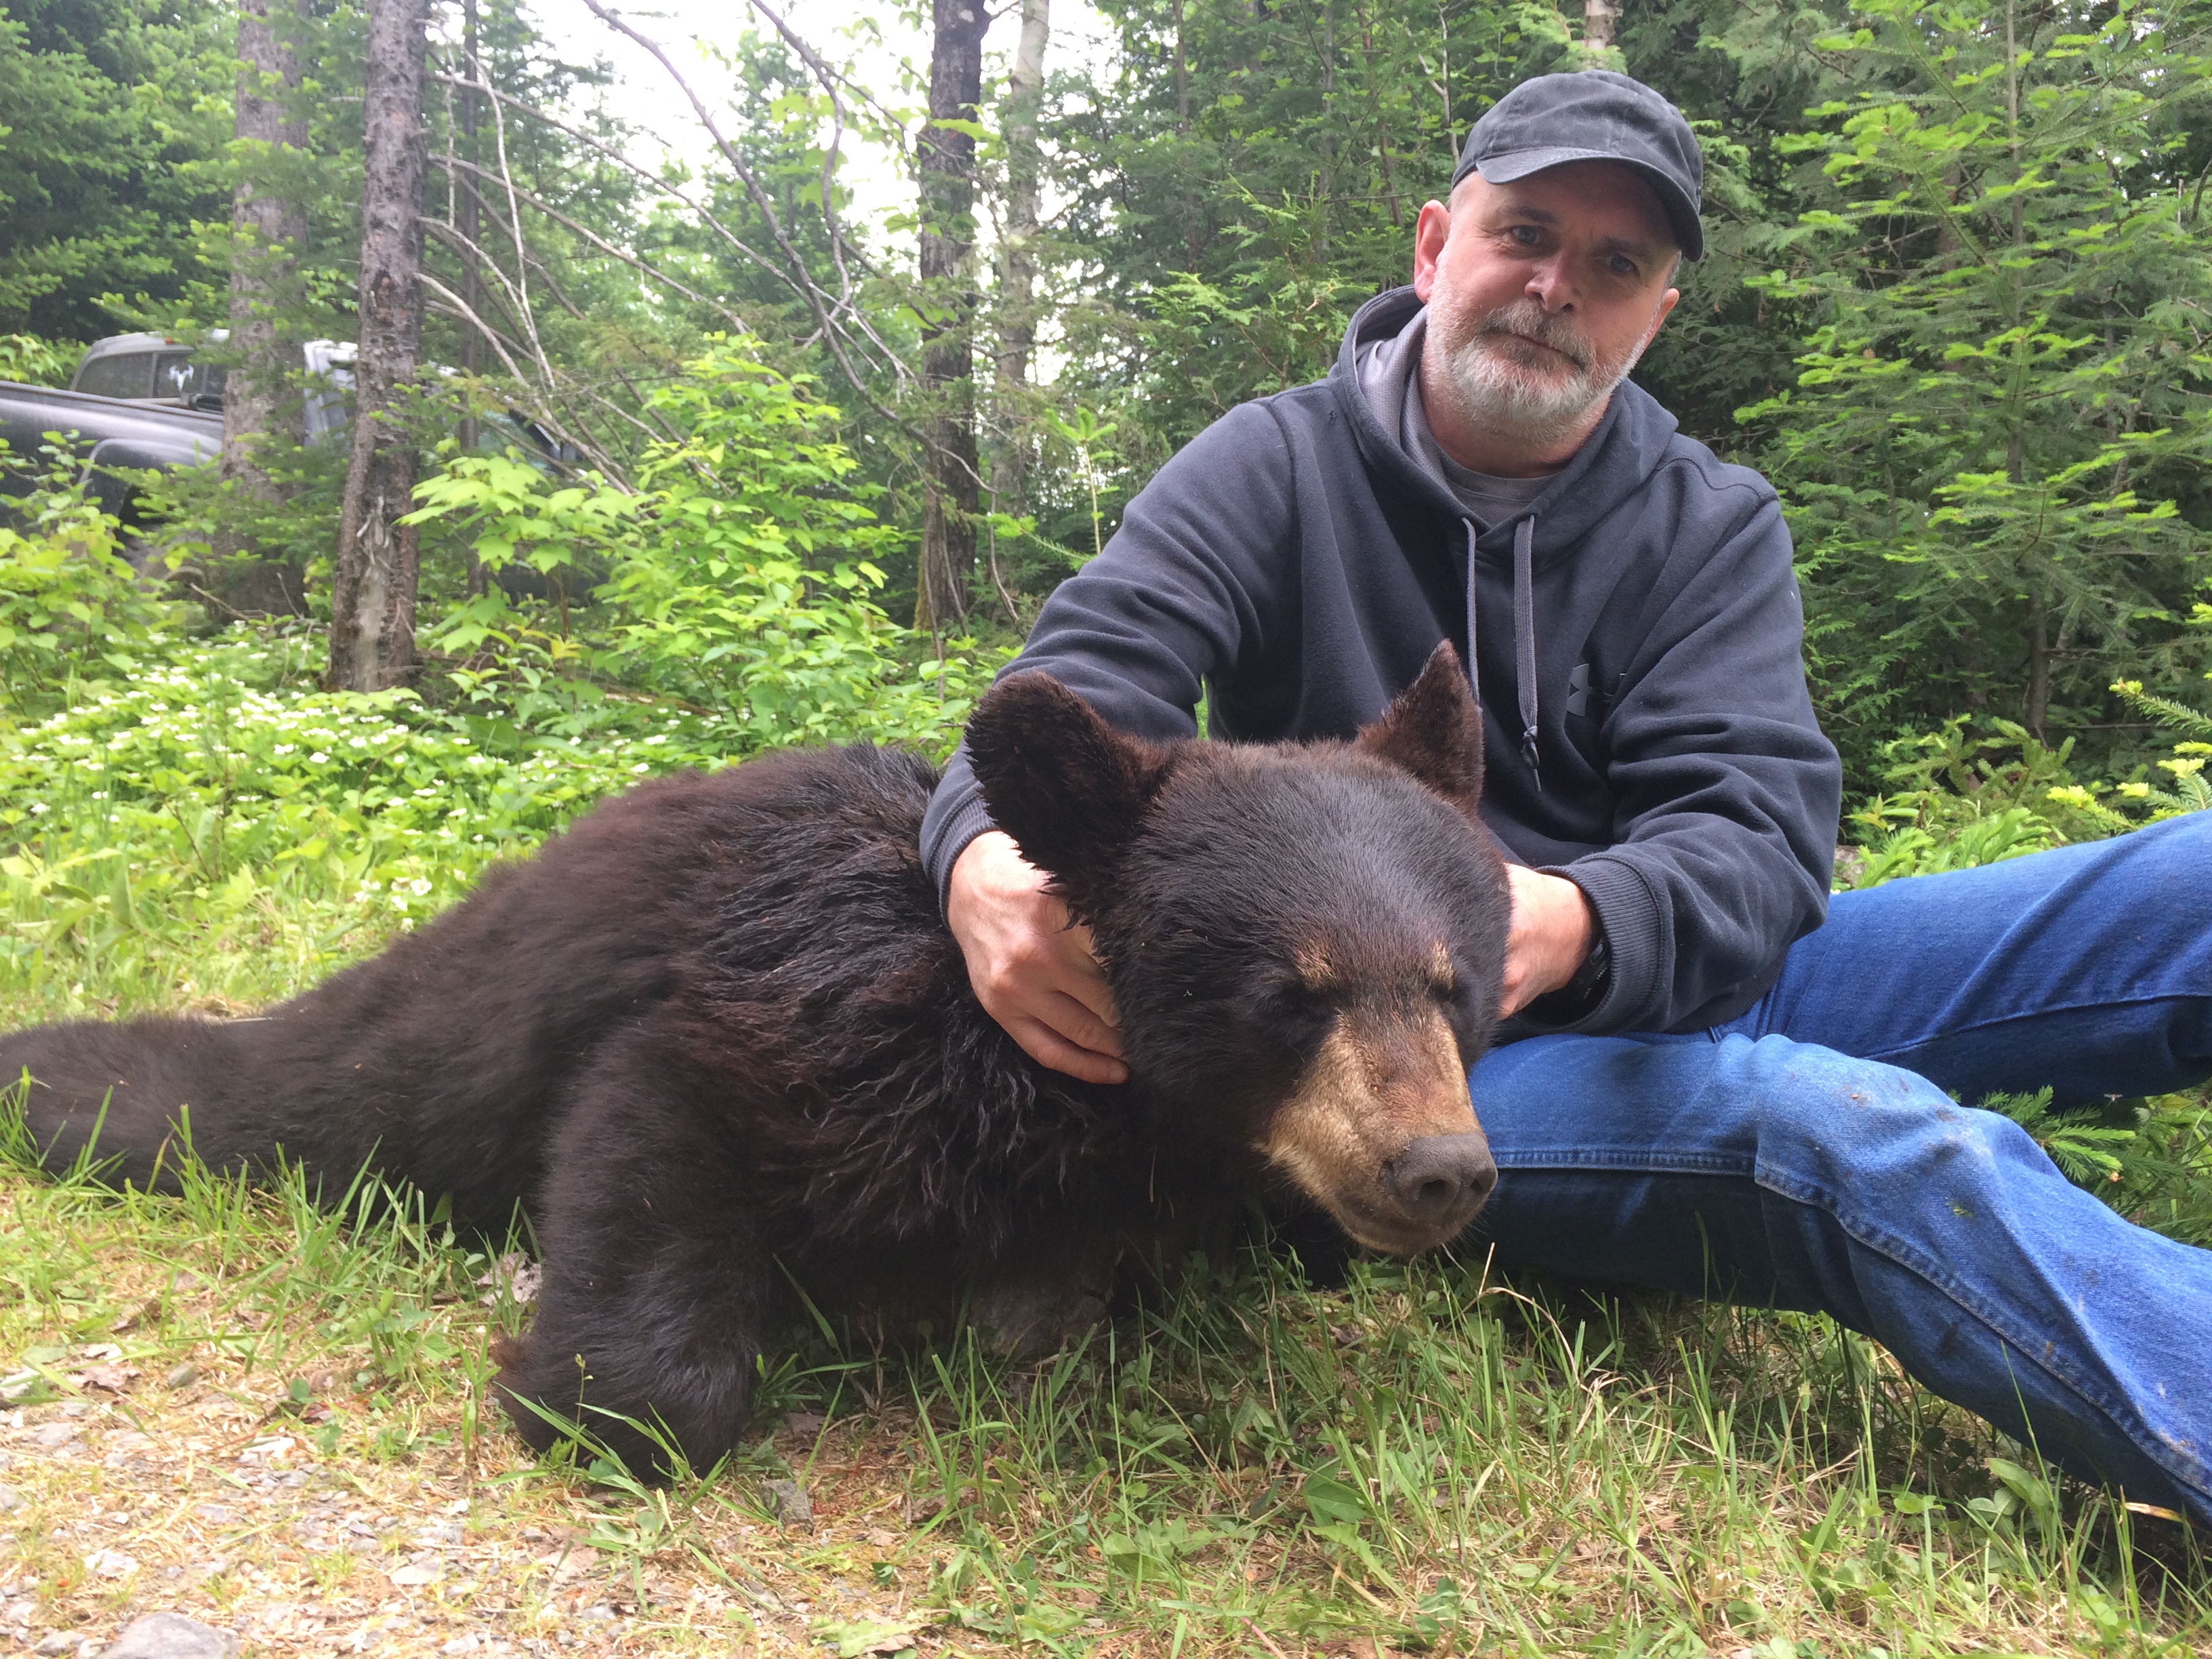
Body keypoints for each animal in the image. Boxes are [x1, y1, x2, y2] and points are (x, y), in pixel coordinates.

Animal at [0, 641, 1511, 1476]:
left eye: (1454, 982)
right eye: (1291, 995)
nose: (1438, 1169)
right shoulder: (819, 1027)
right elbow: (662, 1111)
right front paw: (593, 1393)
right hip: (450, 1038)